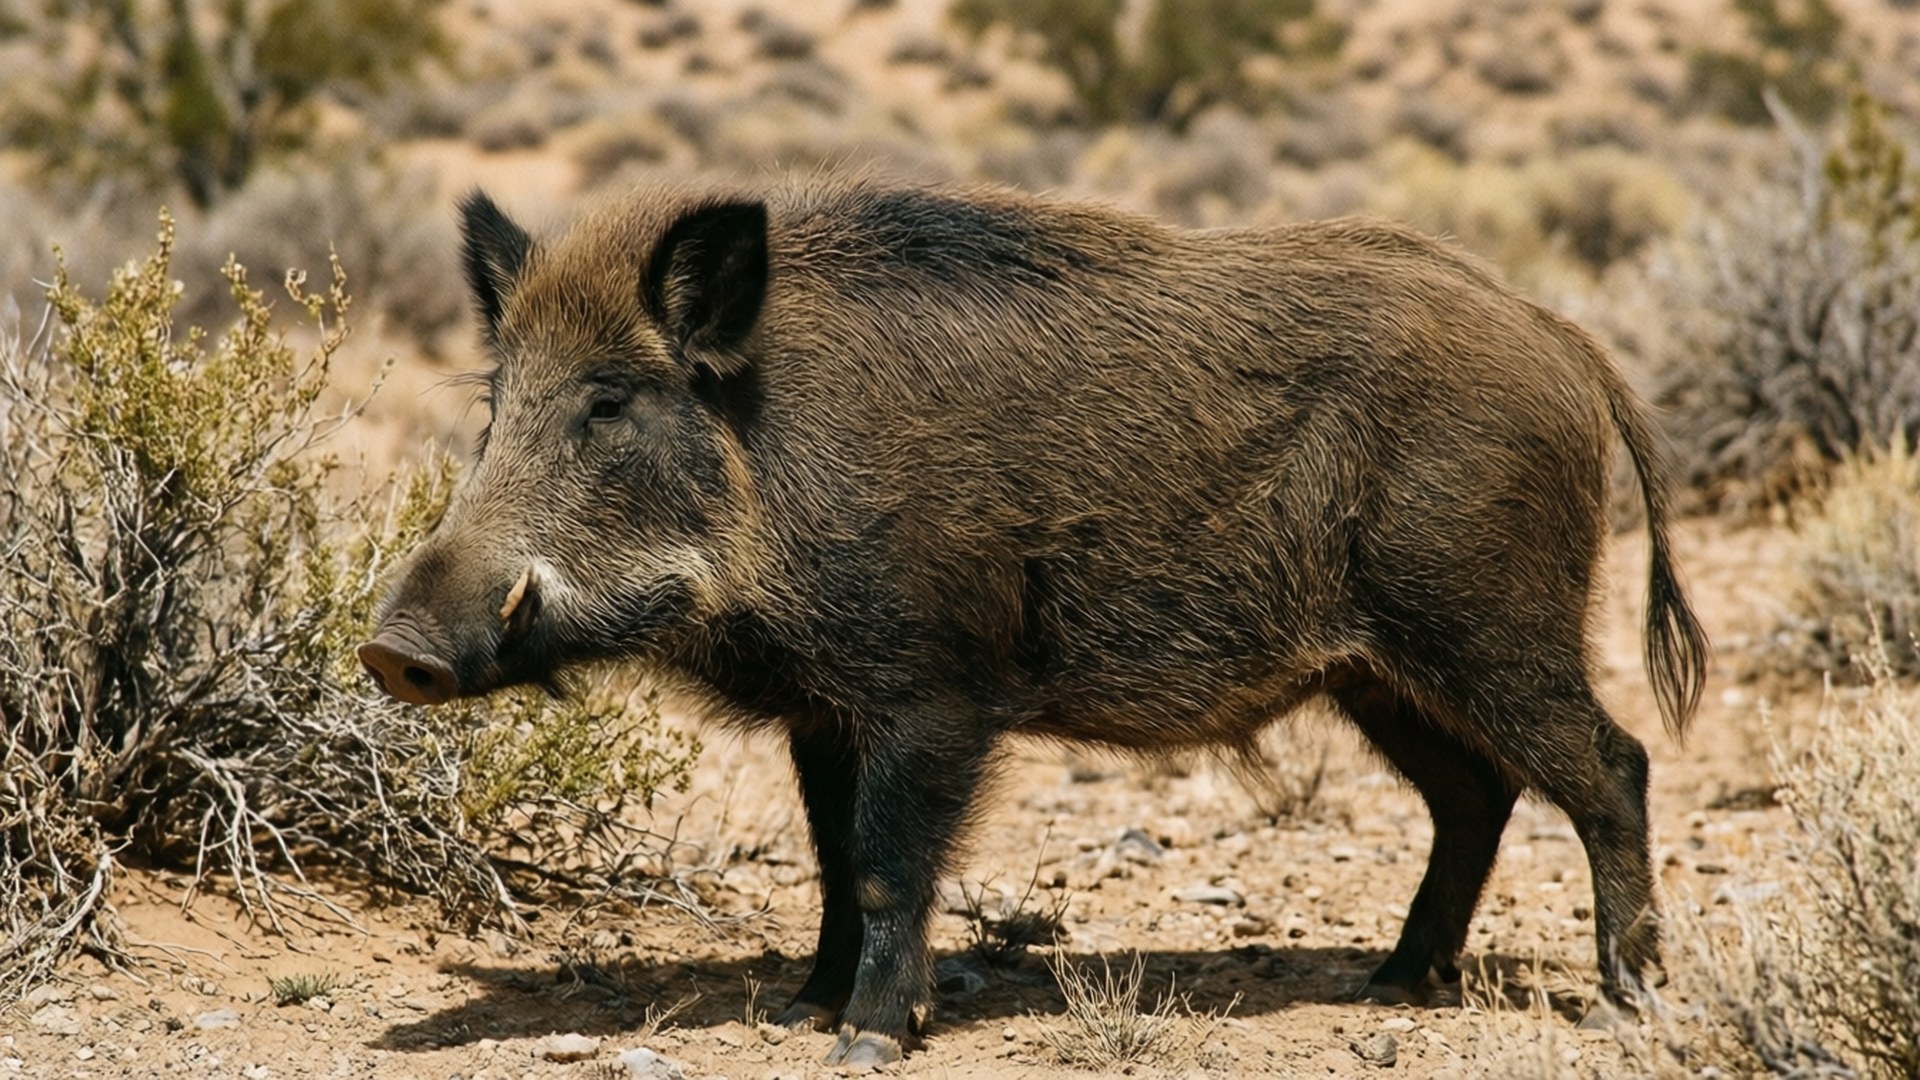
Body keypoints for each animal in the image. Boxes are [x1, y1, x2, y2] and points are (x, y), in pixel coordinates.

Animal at [359, 177, 1709, 1066]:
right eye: (496, 399)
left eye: (609, 402)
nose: (392, 648)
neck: (773, 455)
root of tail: (1564, 341)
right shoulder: (824, 713)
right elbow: (832, 860)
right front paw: (803, 1010)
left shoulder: (935, 691)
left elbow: (892, 863)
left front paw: (866, 1041)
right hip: (1376, 672)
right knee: (1475, 795)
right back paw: (1391, 985)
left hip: (1489, 621)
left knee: (1613, 766)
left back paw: (1623, 999)